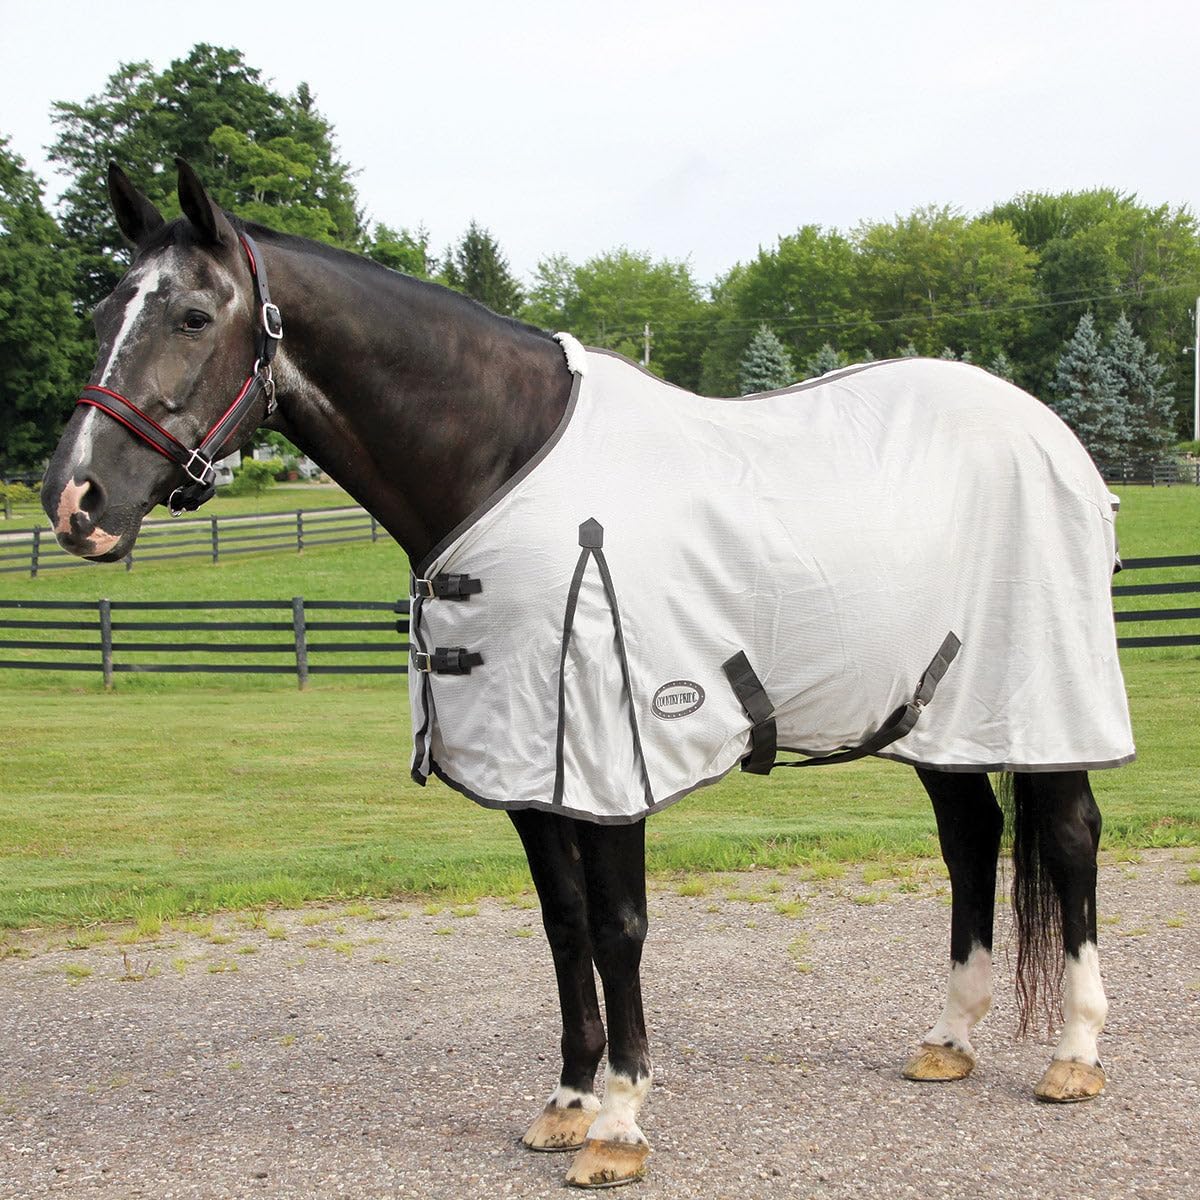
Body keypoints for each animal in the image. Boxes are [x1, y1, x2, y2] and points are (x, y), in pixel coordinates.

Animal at [42, 160, 1127, 1189]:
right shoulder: (533, 766)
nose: (74, 502)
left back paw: (1074, 1054)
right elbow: (564, 927)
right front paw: (566, 1102)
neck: (501, 460)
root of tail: (1045, 428)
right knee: (970, 838)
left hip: (1041, 695)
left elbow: (618, 928)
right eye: (98, 314)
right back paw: (948, 1039)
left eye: (191, 315)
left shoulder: (614, 758)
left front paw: (618, 1125)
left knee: (1071, 839)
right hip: (939, 714)